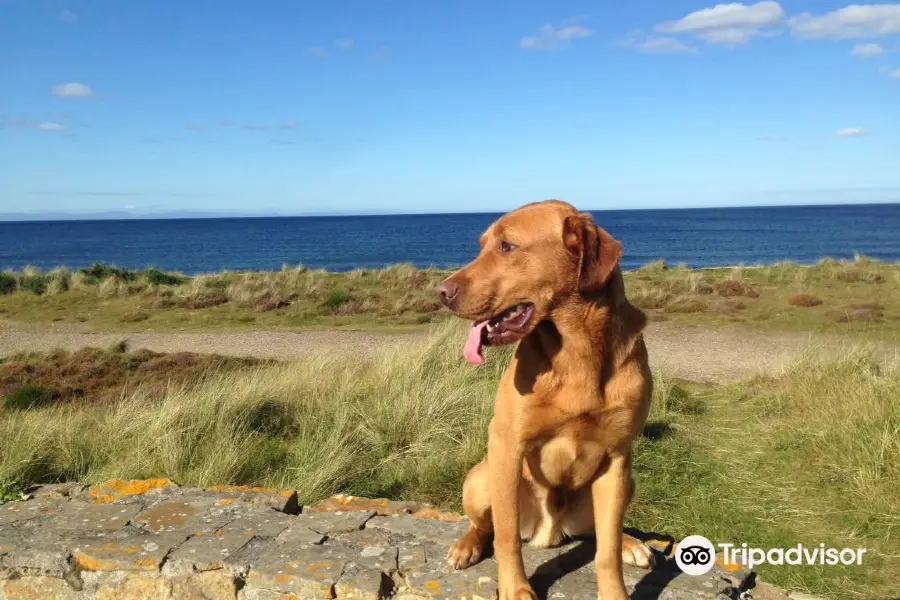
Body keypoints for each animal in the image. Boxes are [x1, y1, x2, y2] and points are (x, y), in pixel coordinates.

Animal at [436, 200, 652, 600]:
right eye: (482, 246)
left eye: (507, 246)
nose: (440, 293)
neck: (577, 350)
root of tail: (550, 532)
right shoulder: (506, 443)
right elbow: (505, 536)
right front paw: (516, 588)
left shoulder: (617, 456)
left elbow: (607, 549)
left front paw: (615, 588)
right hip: (481, 477)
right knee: (485, 526)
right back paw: (466, 545)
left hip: (626, 482)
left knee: (602, 532)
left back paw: (632, 543)